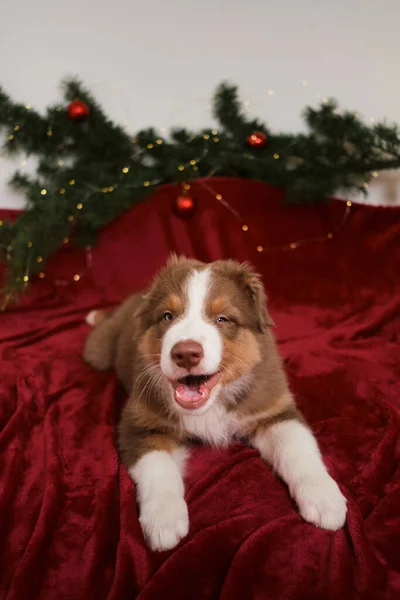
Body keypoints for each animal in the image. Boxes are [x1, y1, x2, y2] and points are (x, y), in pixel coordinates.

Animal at [83, 255, 346, 552]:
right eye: (167, 316)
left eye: (222, 319)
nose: (185, 353)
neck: (213, 404)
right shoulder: (138, 421)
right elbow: (157, 466)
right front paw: (163, 520)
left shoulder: (272, 408)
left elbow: (298, 448)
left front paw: (325, 498)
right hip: (99, 351)